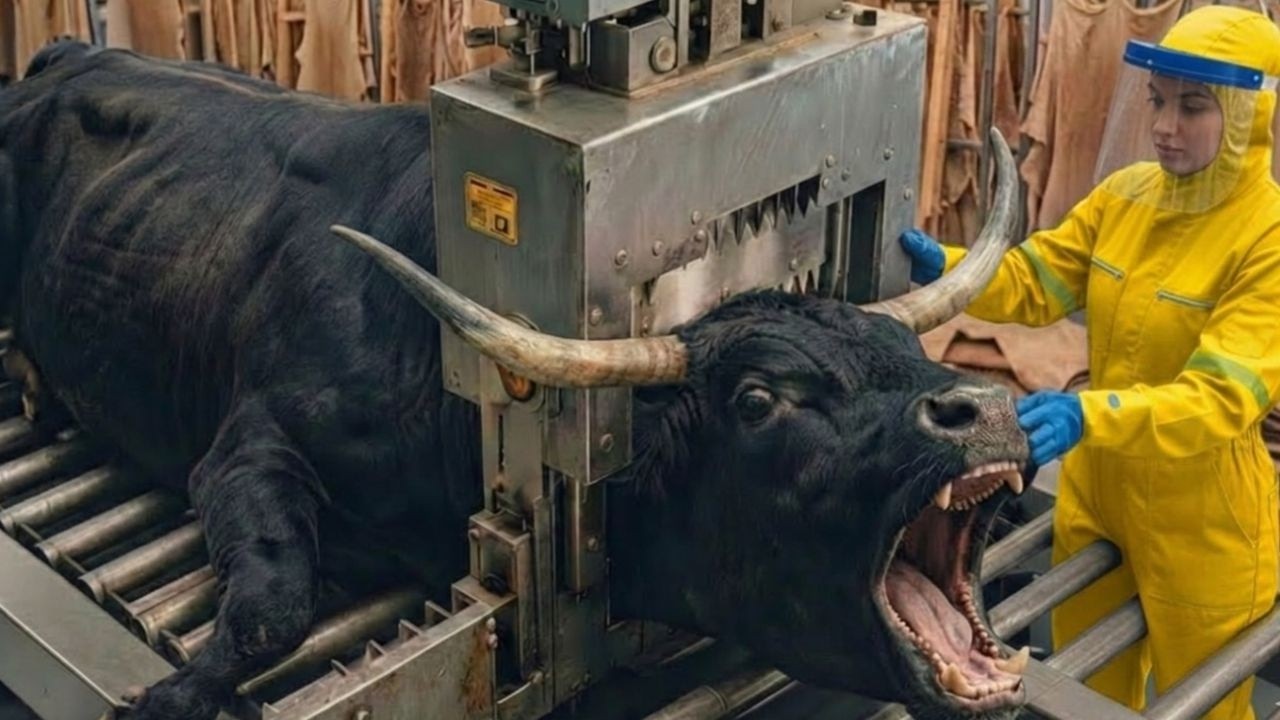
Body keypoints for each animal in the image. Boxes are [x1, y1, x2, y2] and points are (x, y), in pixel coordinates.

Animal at [0, 40, 1032, 720]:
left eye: (901, 346)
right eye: (757, 399)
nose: (982, 407)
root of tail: (65, 52)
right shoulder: (247, 447)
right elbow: (271, 608)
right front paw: (166, 693)